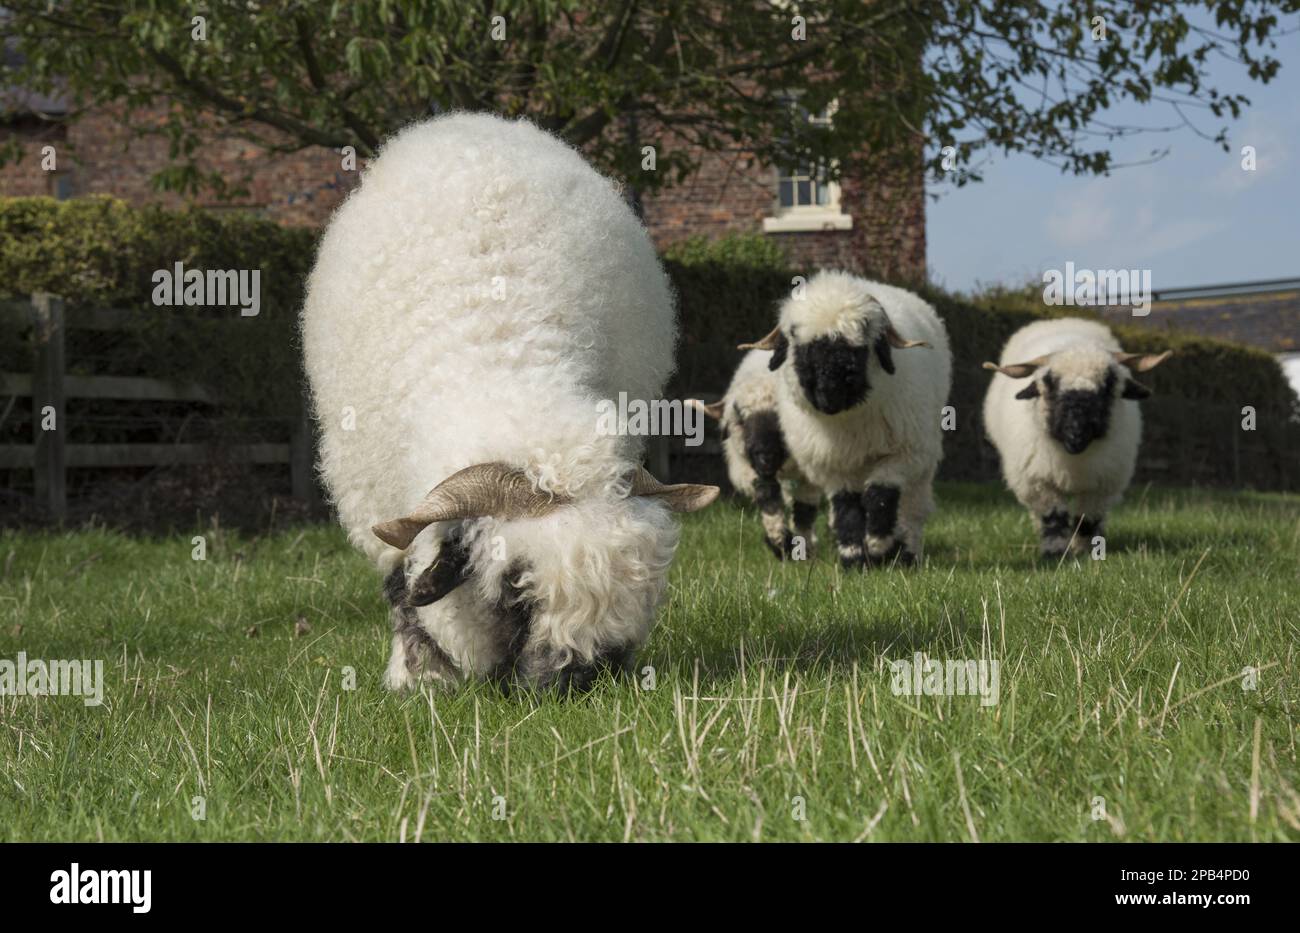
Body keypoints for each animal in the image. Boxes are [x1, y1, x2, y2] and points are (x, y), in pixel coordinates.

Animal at [300, 111, 717, 696]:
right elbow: (402, 587)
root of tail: (471, 121)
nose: (579, 685)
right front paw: (420, 674)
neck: (501, 355)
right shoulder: (372, 497)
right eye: (516, 589)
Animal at [686, 348, 816, 556]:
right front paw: (780, 542)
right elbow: (767, 495)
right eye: (741, 417)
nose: (765, 456)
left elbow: (805, 510)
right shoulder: (749, 468)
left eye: (781, 412)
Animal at [743, 270, 956, 569]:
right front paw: (854, 558)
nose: (829, 394)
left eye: (861, 336)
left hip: (921, 465)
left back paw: (906, 553)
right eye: (796, 338)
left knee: (912, 508)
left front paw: (878, 545)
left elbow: (880, 495)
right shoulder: (833, 464)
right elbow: (847, 508)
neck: (848, 423)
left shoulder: (904, 454)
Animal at [977, 318, 1175, 558]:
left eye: (1109, 384)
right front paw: (1055, 552)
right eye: (1049, 382)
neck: (1073, 459)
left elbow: (1087, 520)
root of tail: (1061, 320)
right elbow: (1053, 517)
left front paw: (1086, 550)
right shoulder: (1038, 482)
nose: (1076, 432)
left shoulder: (1102, 486)